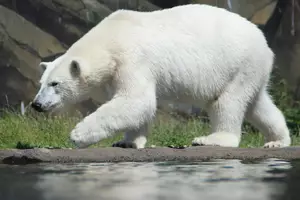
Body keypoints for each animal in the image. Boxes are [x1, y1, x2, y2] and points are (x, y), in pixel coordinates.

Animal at [31, 4, 292, 148]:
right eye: (41, 83)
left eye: (55, 84)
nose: (37, 104)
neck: (109, 38)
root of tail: (265, 43)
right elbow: (137, 105)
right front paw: (127, 141)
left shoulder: (132, 59)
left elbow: (136, 100)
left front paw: (78, 135)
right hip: (251, 71)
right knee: (257, 104)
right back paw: (277, 140)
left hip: (237, 63)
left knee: (226, 102)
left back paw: (210, 139)